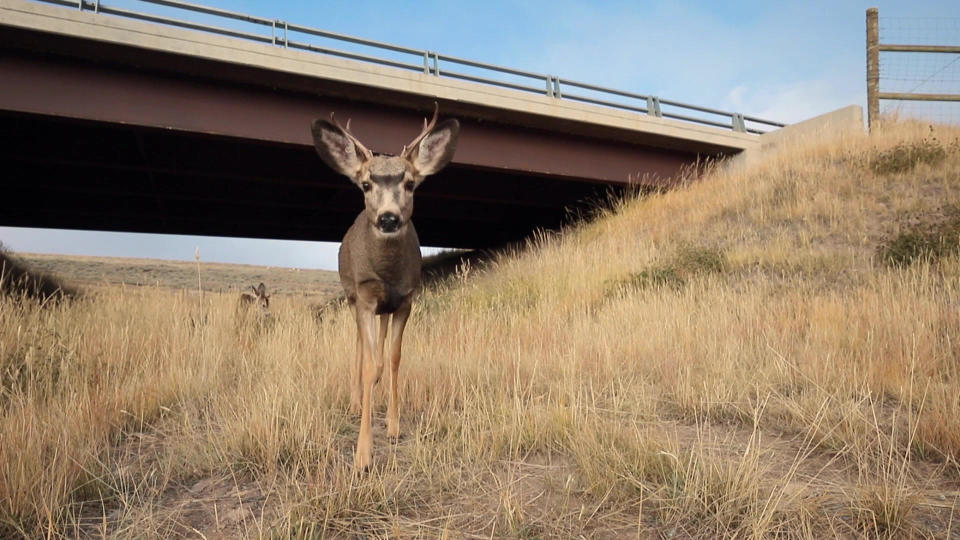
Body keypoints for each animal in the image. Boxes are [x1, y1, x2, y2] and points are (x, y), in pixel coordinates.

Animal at [314, 104, 460, 468]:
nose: (389, 218)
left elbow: (393, 358)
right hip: (353, 297)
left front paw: (393, 426)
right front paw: (363, 455)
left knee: (378, 346)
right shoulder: (365, 297)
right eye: (366, 184)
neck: (387, 274)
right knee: (359, 347)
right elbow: (368, 363)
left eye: (410, 183)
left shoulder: (406, 301)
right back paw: (356, 400)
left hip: (384, 306)